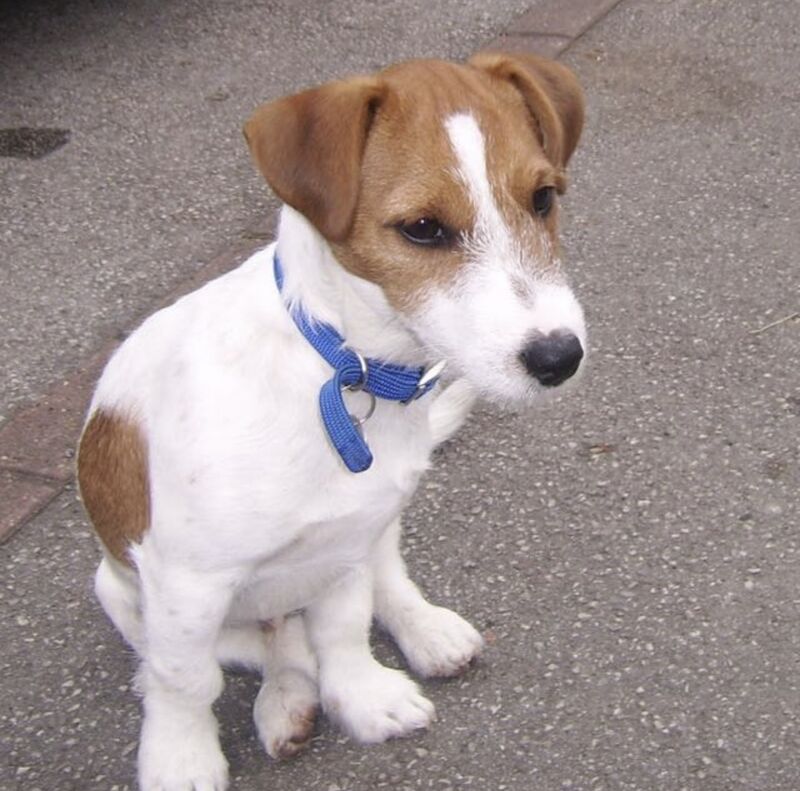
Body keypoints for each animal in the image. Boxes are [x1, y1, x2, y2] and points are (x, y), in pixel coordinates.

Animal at [76, 52, 588, 788]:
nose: (559, 357)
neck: (345, 372)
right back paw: (284, 698)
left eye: (544, 198)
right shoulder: (184, 582)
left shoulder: (345, 543)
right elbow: (185, 682)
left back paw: (420, 632)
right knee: (255, 648)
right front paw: (180, 757)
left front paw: (363, 695)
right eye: (423, 228)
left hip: (377, 526)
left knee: (375, 587)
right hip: (122, 591)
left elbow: (344, 628)